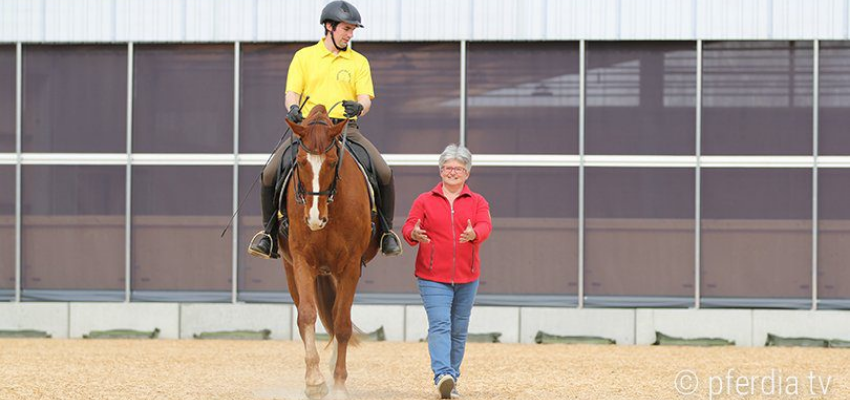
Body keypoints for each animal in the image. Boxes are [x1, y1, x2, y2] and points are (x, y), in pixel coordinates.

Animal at [278, 104, 378, 398]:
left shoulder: (350, 267)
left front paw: (339, 384)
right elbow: (307, 316)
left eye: (333, 161)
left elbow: (342, 324)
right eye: (300, 161)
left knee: (336, 317)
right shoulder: (301, 262)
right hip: (292, 268)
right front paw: (314, 381)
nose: (314, 218)